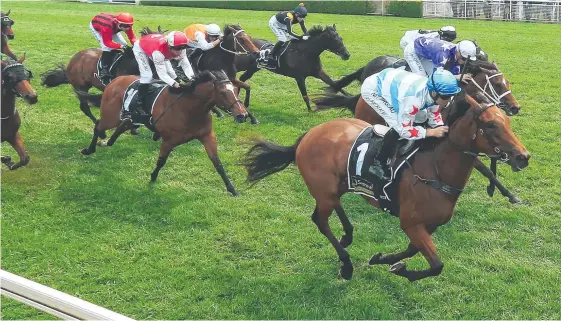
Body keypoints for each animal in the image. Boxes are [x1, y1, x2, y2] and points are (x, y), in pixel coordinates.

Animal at [79, 70, 247, 195]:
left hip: (130, 118)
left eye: (235, 90)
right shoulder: (168, 141)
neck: (188, 109)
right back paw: (90, 148)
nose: (242, 115)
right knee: (99, 126)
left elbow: (217, 163)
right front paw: (153, 177)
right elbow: (161, 161)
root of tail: (113, 82)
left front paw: (232, 189)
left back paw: (107, 142)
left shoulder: (207, 136)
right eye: (223, 92)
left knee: (122, 126)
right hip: (111, 116)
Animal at [243, 92, 528, 280]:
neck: (435, 169)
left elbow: (412, 251)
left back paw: (348, 235)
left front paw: (384, 259)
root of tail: (308, 135)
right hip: (322, 191)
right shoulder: (411, 223)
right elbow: (436, 265)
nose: (523, 157)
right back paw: (346, 264)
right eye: (491, 125)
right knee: (320, 220)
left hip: (338, 186)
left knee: (336, 207)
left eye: (508, 122)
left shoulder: (429, 224)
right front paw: (400, 269)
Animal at [316, 62, 520, 202]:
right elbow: (486, 169)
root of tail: (360, 96)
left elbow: (489, 168)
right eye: (497, 83)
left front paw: (507, 193)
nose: (515, 107)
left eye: (507, 82)